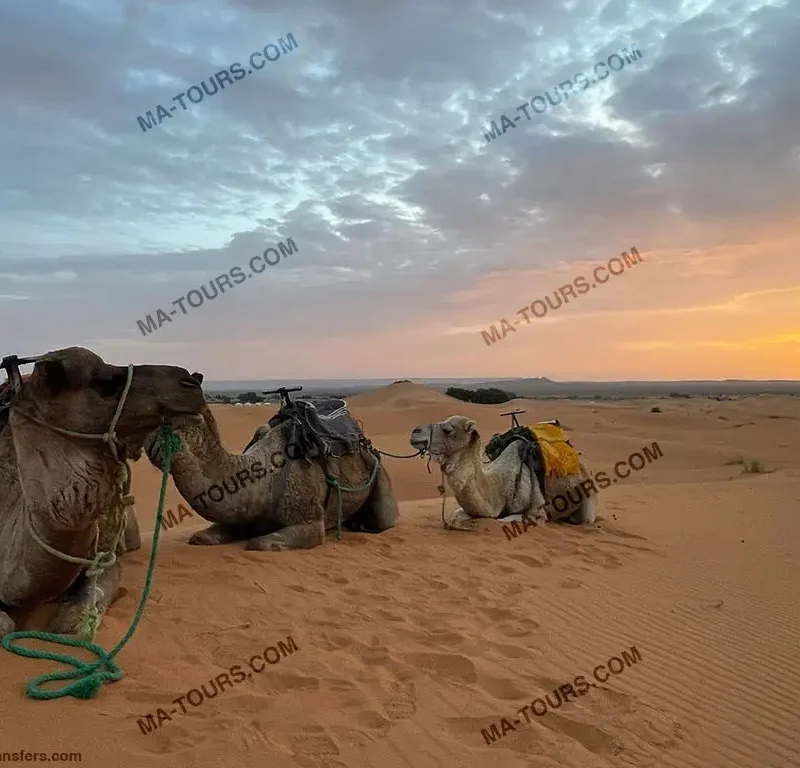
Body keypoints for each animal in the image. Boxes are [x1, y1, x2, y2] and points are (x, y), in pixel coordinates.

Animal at [144, 380, 400, 548]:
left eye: (169, 419)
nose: (145, 437)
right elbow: (202, 536)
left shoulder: (310, 521)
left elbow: (259, 543)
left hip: (380, 476)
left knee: (384, 518)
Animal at [412, 416, 592, 532]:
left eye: (448, 430)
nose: (415, 432)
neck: (497, 488)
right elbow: (456, 515)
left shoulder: (537, 512)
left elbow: (504, 519)